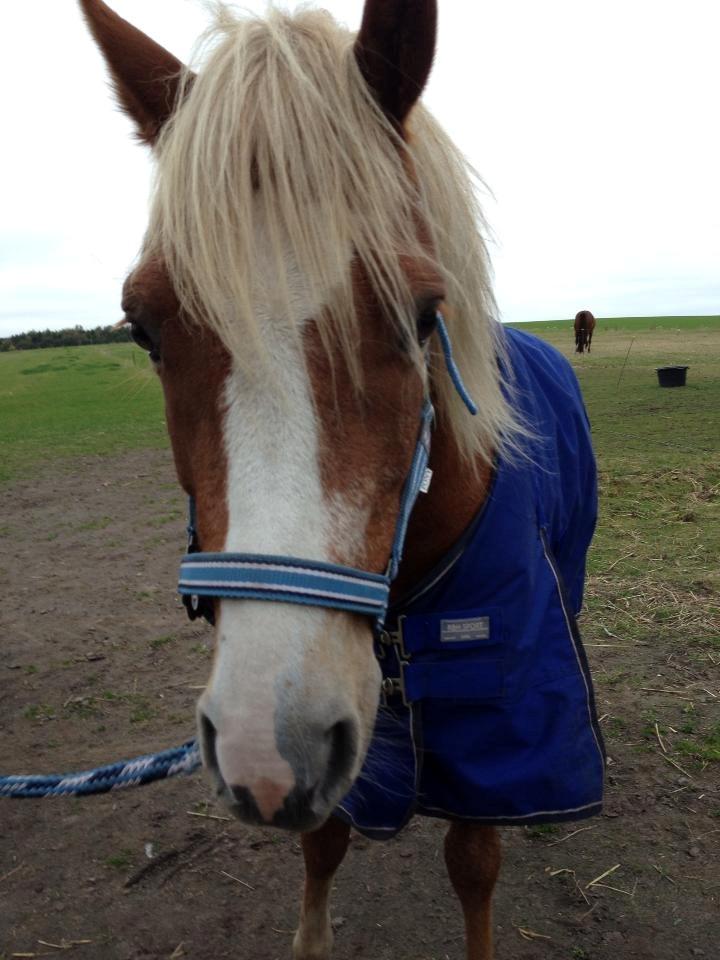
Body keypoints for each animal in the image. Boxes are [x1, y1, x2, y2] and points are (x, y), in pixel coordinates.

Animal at [79, 1, 604, 960]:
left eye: (424, 314)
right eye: (142, 326)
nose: (264, 741)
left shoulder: (499, 725)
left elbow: (474, 864)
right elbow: (322, 843)